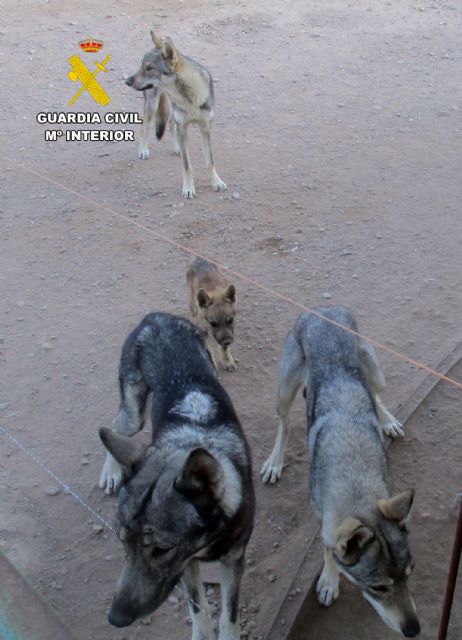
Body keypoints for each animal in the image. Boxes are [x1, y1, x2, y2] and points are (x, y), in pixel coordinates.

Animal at [99, 312, 254, 636]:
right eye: (122, 541)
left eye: (162, 550)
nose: (116, 619)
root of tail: (155, 318)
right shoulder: (186, 564)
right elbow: (199, 609)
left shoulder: (233, 559)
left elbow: (229, 615)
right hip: (135, 414)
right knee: (117, 424)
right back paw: (111, 472)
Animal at [125, 30, 228, 199]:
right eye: (142, 66)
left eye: (150, 68)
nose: (127, 81)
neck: (189, 96)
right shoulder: (183, 127)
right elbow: (186, 165)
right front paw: (188, 188)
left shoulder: (205, 128)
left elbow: (210, 162)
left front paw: (216, 183)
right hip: (152, 106)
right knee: (144, 126)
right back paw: (143, 150)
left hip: (173, 115)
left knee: (171, 124)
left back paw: (177, 148)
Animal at [260, 308, 418, 636]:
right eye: (379, 588)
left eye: (410, 574)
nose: (414, 630)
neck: (354, 472)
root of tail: (323, 310)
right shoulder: (324, 516)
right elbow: (327, 549)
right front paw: (329, 583)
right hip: (285, 391)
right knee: (284, 423)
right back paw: (275, 461)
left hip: (376, 374)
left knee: (375, 395)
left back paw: (388, 422)